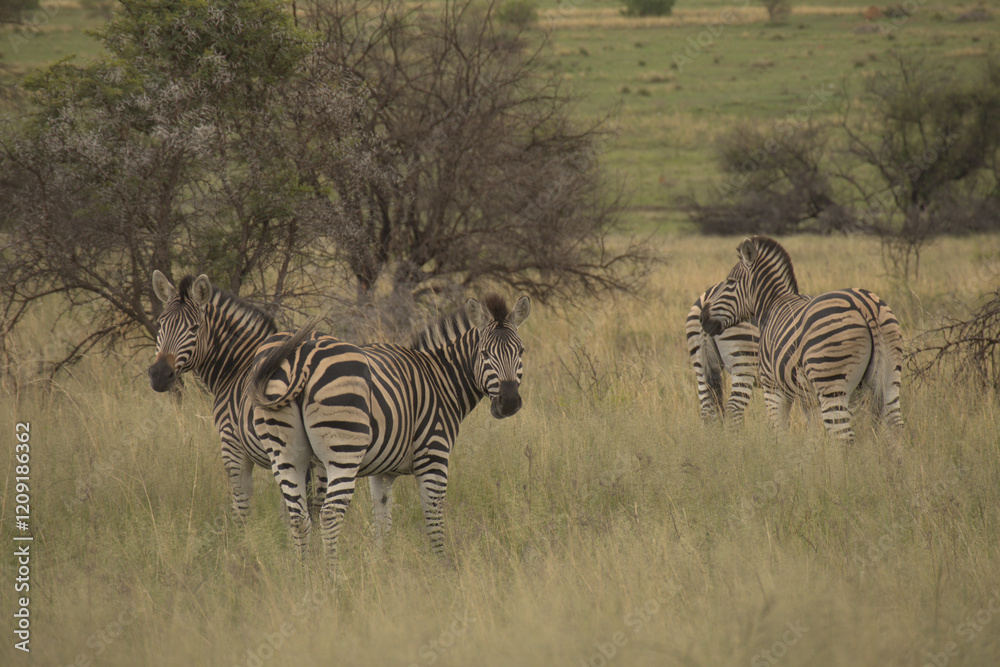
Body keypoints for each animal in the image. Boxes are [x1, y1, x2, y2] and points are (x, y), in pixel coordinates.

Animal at [147, 271, 327, 520]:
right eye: (160, 324)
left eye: (194, 328)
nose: (159, 375)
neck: (237, 366)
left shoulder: (232, 443)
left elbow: (241, 507)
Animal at [248, 294, 530, 569]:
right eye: (484, 353)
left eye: (521, 351)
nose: (509, 402)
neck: (439, 380)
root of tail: (301, 357)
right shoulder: (434, 456)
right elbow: (433, 517)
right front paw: (442, 567)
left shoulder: (382, 472)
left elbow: (382, 523)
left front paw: (380, 567)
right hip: (344, 450)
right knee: (329, 515)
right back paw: (333, 577)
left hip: (286, 453)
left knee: (298, 516)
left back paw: (304, 573)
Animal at [699, 236, 904, 442]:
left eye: (731, 282)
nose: (703, 318)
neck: (773, 305)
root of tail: (865, 305)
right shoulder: (812, 397)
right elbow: (811, 432)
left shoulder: (772, 386)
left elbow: (779, 432)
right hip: (889, 378)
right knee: (894, 426)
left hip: (827, 382)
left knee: (843, 437)